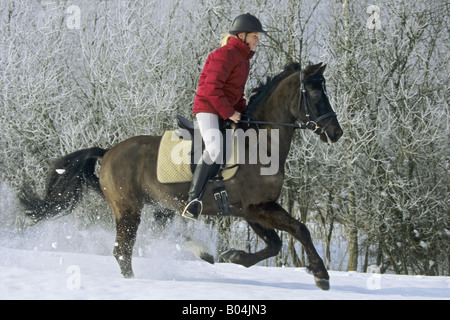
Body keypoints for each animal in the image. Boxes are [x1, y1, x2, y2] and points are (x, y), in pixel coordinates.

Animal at [17, 62, 342, 290]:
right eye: (316, 94)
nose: (336, 132)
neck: (260, 143)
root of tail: (108, 151)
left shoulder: (251, 210)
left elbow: (275, 244)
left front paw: (233, 257)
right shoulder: (258, 207)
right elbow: (301, 229)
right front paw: (321, 275)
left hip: (161, 207)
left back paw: (200, 252)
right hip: (129, 209)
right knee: (122, 250)